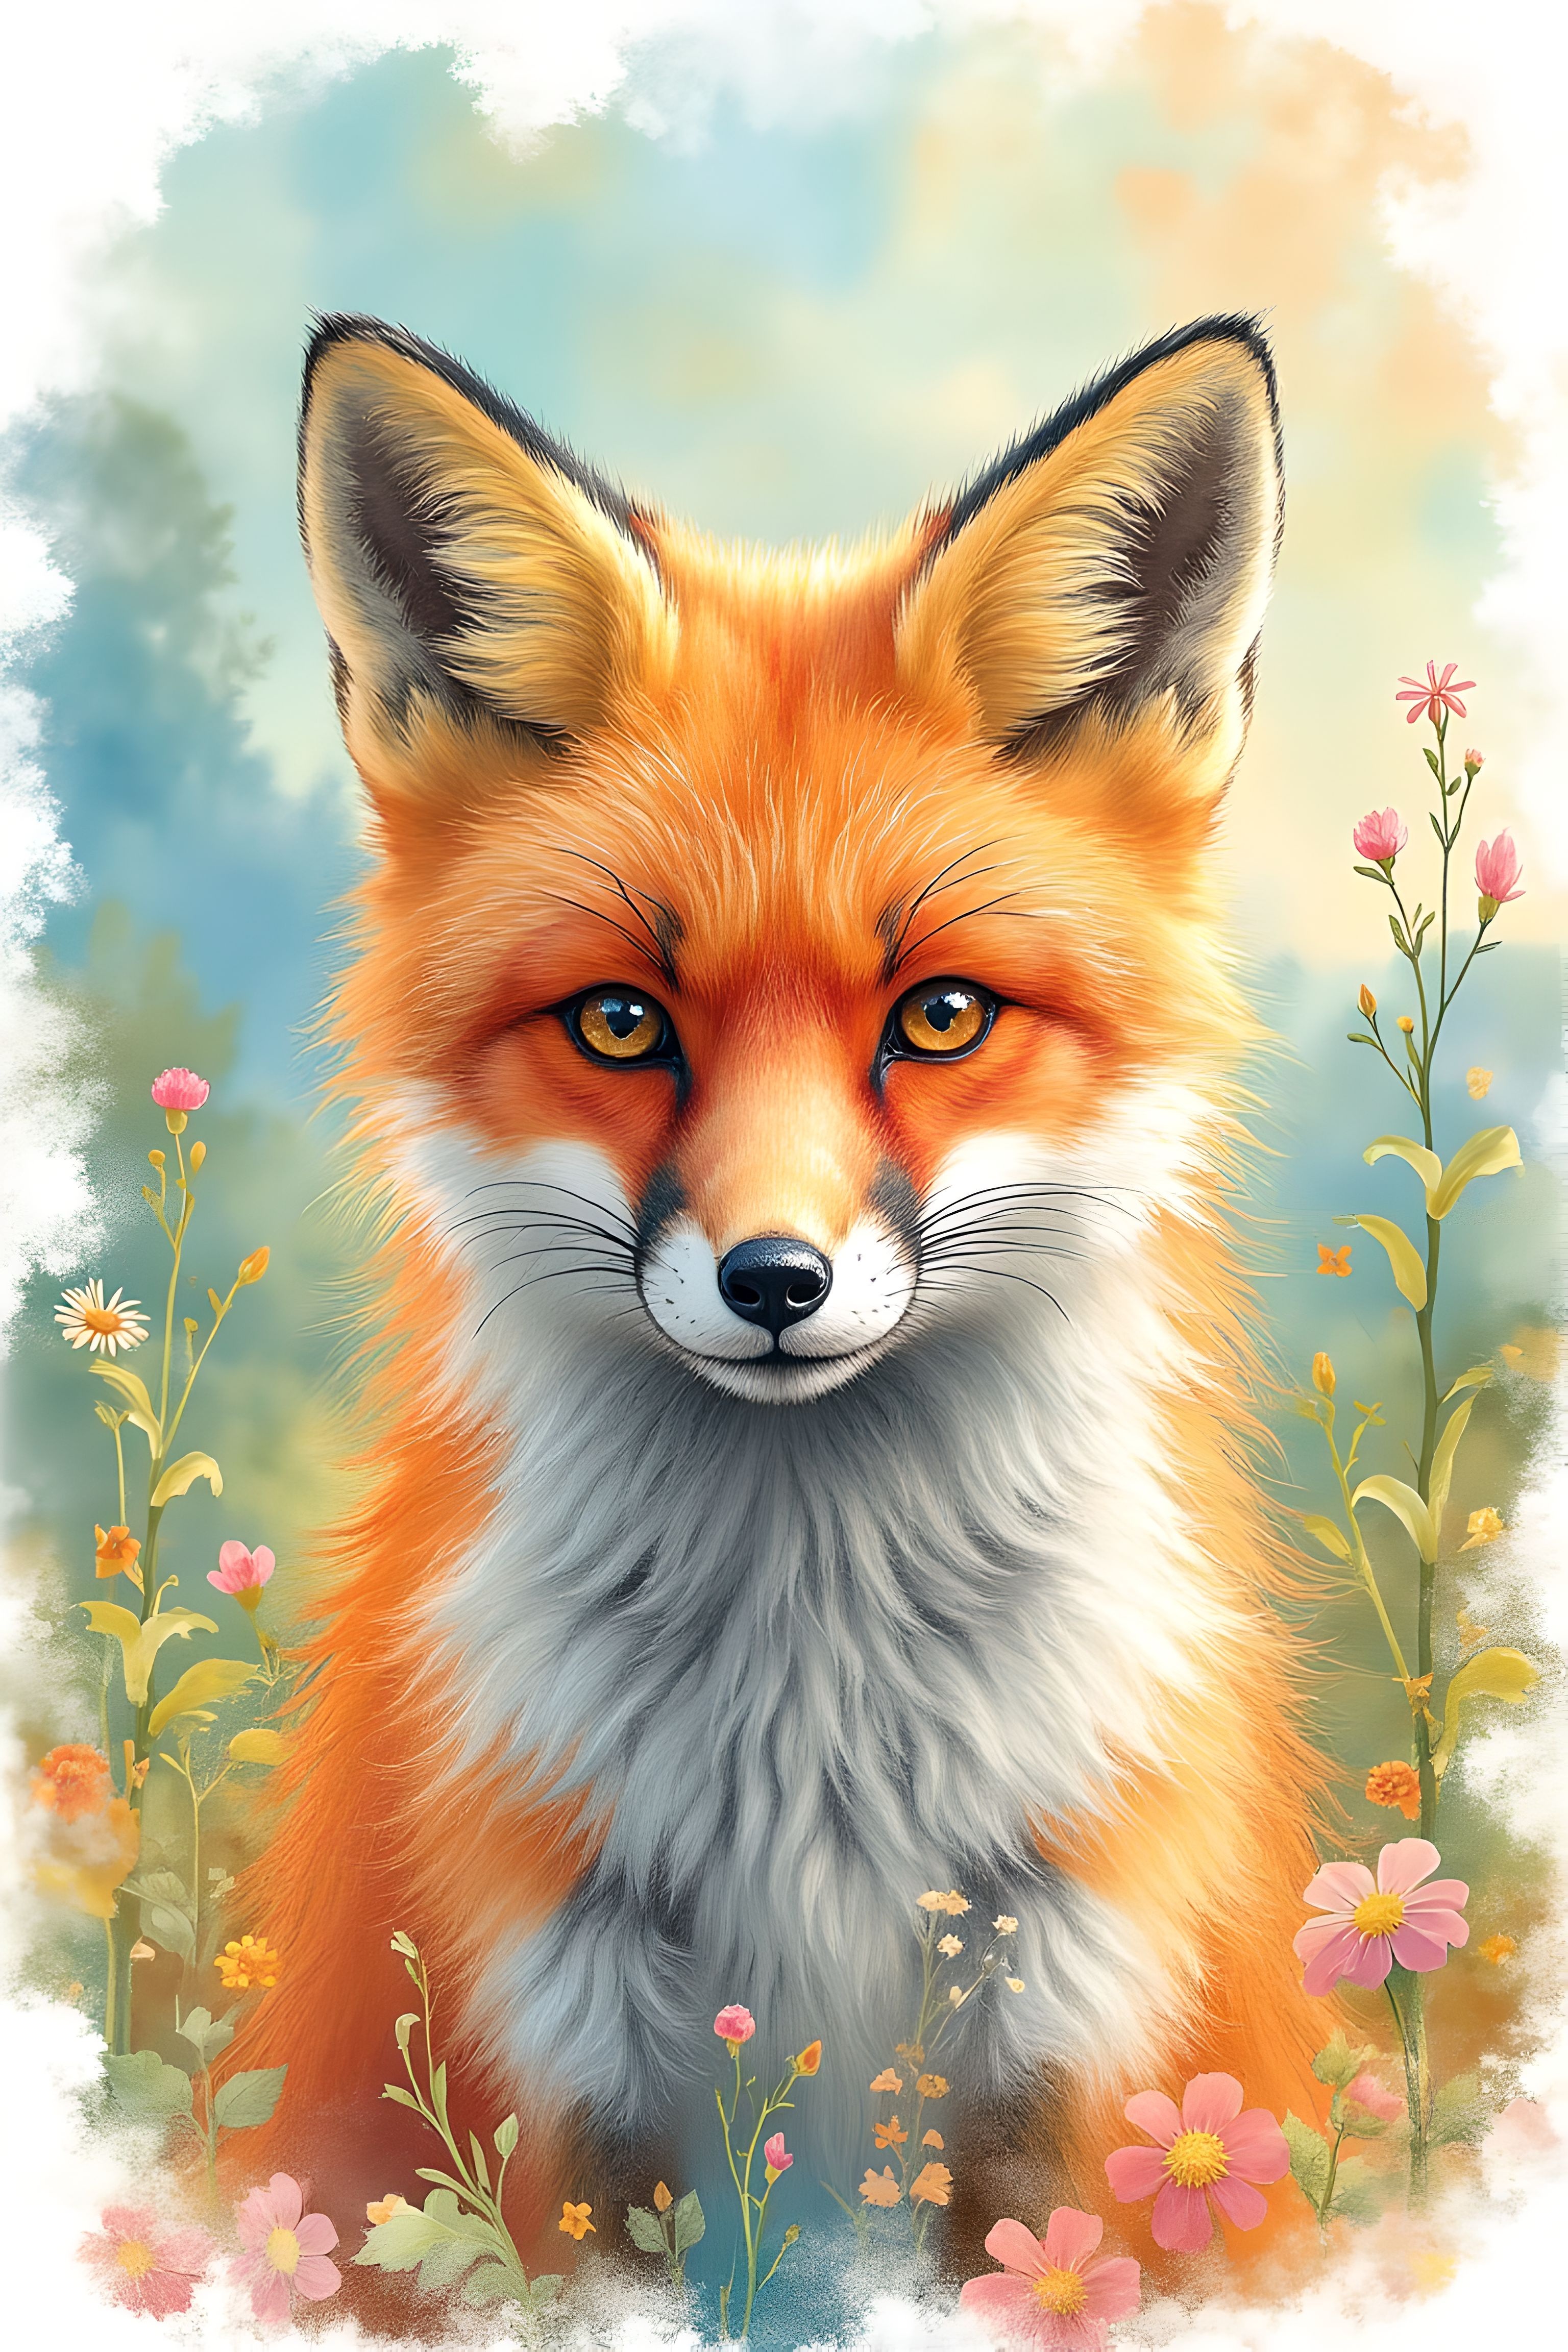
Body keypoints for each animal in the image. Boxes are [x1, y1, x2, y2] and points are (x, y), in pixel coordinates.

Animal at [236, 309, 1332, 2273]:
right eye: (619, 1022)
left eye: (942, 1015)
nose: (773, 1280)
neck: (810, 1731)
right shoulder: (562, 2046)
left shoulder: (1072, 2034)